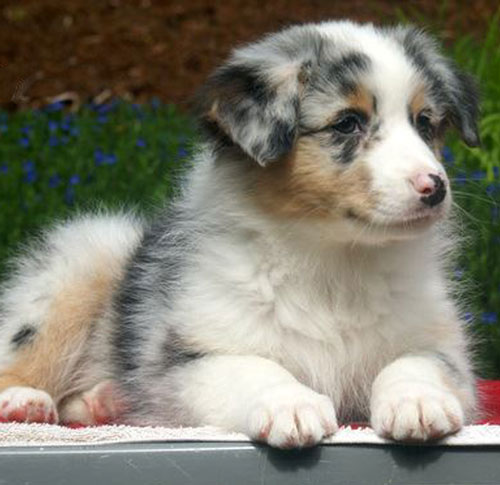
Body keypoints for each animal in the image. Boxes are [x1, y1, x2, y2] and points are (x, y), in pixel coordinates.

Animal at [0, 21, 480, 446]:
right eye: (347, 123)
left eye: (424, 123)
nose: (435, 188)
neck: (335, 258)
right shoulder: (190, 359)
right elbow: (254, 368)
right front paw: (291, 405)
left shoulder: (441, 345)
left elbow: (415, 363)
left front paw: (418, 402)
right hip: (83, 259)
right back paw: (25, 400)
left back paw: (103, 401)